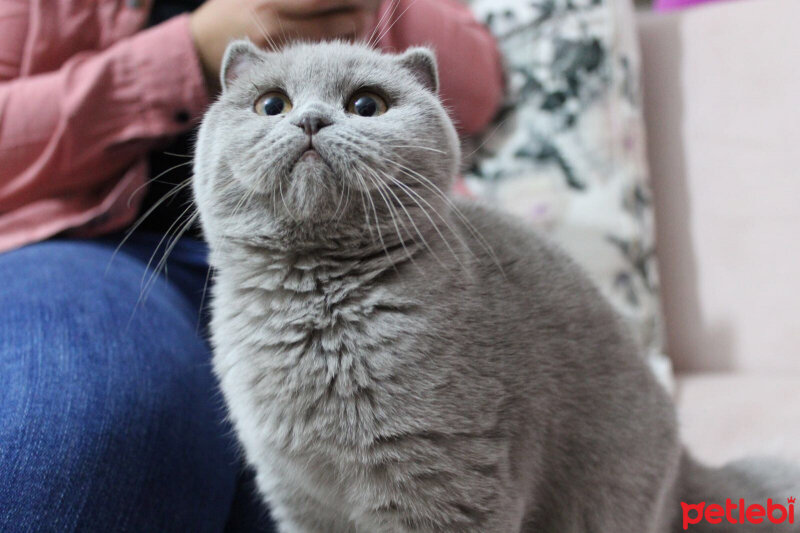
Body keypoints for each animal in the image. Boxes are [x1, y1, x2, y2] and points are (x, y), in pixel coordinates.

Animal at [194, 39, 800, 528]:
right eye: (272, 104)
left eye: (367, 105)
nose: (312, 120)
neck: (316, 303)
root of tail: (688, 466)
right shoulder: (297, 495)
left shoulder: (440, 480)